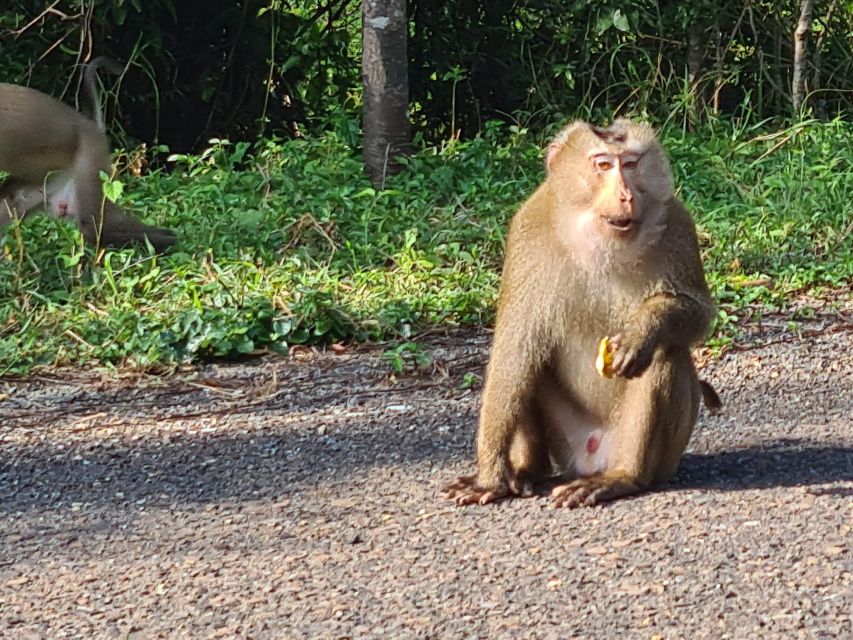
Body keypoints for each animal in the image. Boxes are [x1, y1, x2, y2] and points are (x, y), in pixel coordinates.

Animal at [446, 117, 720, 508]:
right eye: (603, 165)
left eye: (630, 164)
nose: (626, 196)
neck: (599, 242)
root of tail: (592, 458)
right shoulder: (528, 234)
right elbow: (516, 352)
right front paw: (491, 478)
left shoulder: (678, 224)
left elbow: (697, 312)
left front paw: (643, 328)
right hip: (568, 444)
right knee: (532, 359)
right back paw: (529, 471)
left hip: (662, 457)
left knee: (663, 353)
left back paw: (622, 476)